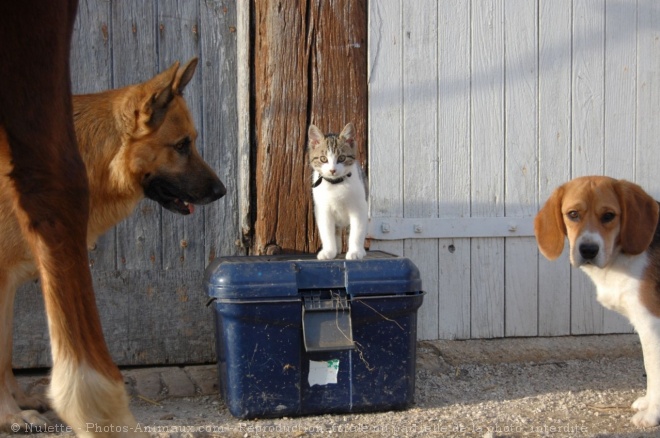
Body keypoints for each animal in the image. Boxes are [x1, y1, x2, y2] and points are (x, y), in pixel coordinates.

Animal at [0, 1, 224, 434]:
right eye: (182, 146)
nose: (222, 192)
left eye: (192, 142)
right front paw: (9, 413)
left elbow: (4, 354)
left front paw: (19, 402)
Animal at [308, 122, 368, 260]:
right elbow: (326, 231)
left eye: (341, 158)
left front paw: (355, 251)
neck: (336, 184)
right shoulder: (322, 209)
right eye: (323, 159)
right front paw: (329, 251)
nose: (332, 170)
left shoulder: (359, 207)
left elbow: (357, 231)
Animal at [536, 175, 660, 428]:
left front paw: (653, 415)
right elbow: (650, 367)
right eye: (573, 214)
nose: (588, 250)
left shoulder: (652, 324)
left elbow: (655, 371)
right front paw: (648, 403)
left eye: (609, 216)